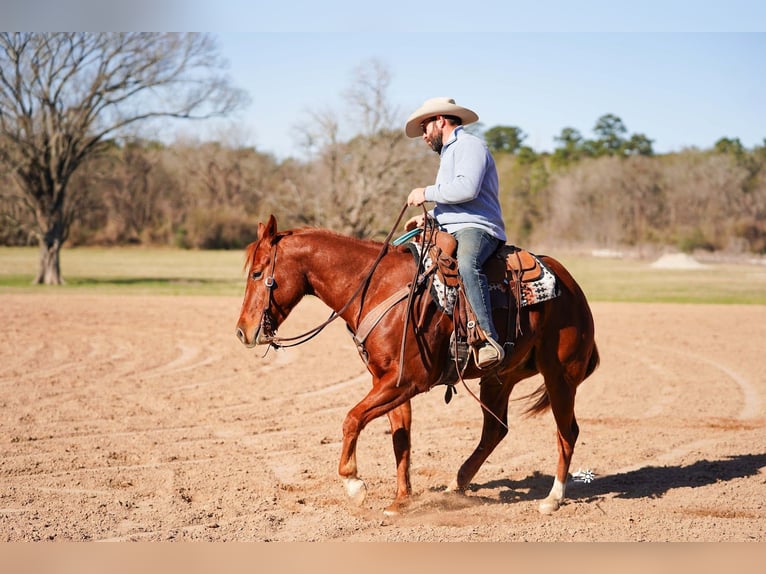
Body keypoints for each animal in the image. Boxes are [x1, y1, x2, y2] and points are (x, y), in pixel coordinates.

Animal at [236, 214, 599, 516]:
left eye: (257, 273)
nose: (242, 331)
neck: (377, 285)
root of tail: (573, 288)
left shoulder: (408, 380)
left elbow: (352, 419)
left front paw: (354, 483)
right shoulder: (387, 380)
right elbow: (400, 437)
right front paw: (401, 500)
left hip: (560, 376)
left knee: (567, 432)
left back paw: (552, 499)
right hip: (499, 377)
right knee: (495, 430)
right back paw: (457, 485)